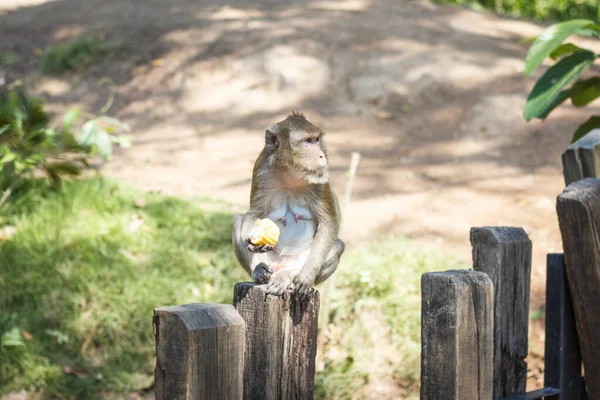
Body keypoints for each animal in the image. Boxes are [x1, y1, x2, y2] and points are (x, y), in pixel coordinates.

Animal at [232, 112, 344, 296]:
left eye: (317, 139)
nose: (321, 155)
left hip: (300, 262)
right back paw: (259, 271)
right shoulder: (261, 169)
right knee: (238, 220)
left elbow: (328, 223)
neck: (290, 174)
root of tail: (281, 265)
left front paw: (306, 276)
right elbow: (255, 213)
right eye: (308, 141)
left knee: (338, 245)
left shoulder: (320, 180)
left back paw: (288, 276)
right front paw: (252, 243)